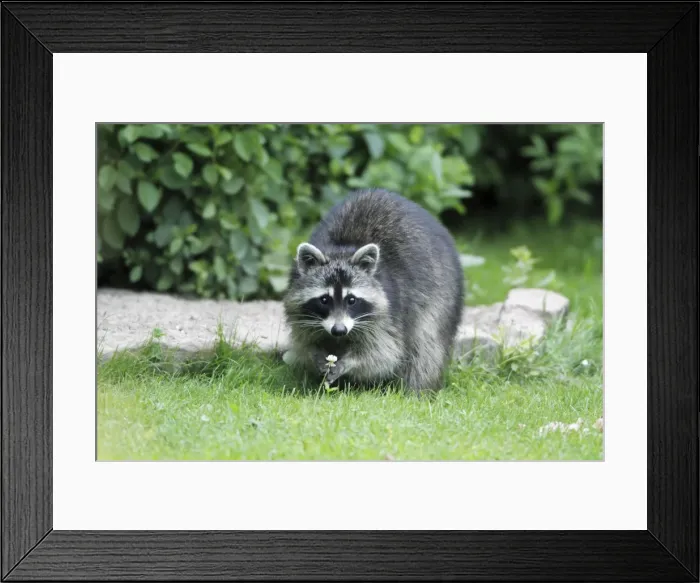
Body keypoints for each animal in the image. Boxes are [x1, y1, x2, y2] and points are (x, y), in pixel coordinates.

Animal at [282, 188, 465, 393]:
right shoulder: (299, 312)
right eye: (324, 299)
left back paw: (416, 390)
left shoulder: (389, 314)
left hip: (442, 297)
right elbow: (305, 342)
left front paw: (350, 362)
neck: (341, 250)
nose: (339, 330)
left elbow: (383, 355)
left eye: (351, 300)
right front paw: (316, 355)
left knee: (426, 347)